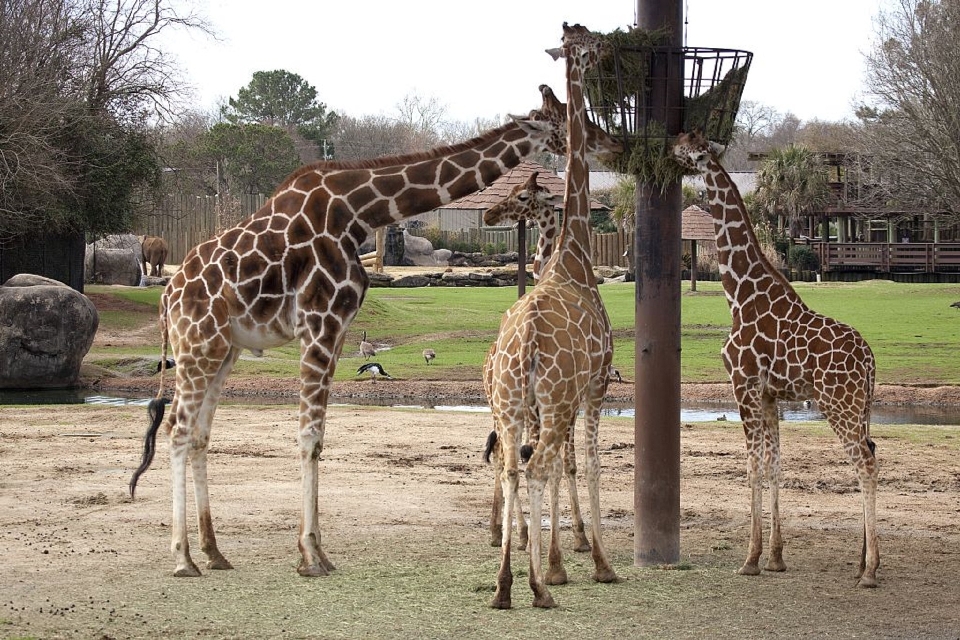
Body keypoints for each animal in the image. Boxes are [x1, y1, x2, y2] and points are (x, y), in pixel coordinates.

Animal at [476, 172, 588, 552]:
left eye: (523, 195)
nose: (490, 213)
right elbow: (564, 462)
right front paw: (578, 535)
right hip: (510, 408)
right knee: (506, 456)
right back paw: (517, 533)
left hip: (508, 408)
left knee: (503, 455)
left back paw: (499, 531)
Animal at [672, 131, 880, 592]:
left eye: (691, 145)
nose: (671, 146)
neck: (739, 294)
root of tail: (870, 361)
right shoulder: (769, 395)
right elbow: (774, 468)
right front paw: (776, 558)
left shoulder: (743, 386)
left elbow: (751, 468)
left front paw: (750, 559)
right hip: (861, 406)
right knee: (872, 452)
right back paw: (863, 561)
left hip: (837, 403)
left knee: (865, 462)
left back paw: (871, 571)